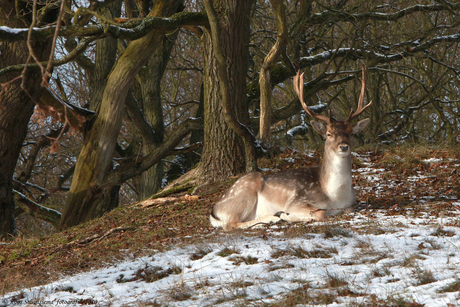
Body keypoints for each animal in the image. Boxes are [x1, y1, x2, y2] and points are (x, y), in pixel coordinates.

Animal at [210, 68, 372, 231]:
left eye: (351, 133)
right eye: (328, 134)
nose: (344, 146)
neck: (334, 196)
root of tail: (215, 210)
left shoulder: (350, 204)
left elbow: (349, 210)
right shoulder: (297, 201)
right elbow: (321, 213)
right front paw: (284, 215)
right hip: (245, 191)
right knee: (230, 224)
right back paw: (273, 218)